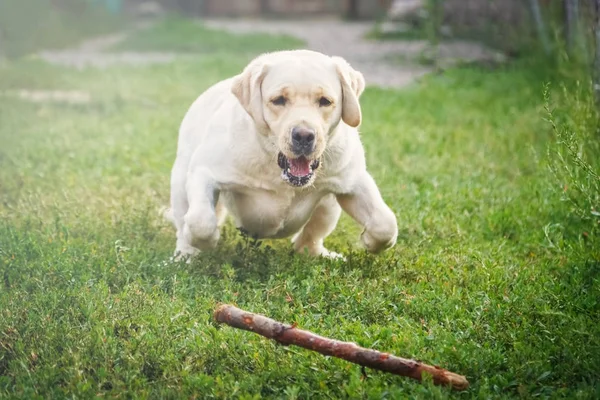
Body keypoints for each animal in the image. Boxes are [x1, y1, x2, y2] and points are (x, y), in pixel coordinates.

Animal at [164, 49, 398, 260]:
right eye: (278, 100)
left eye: (325, 101)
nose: (303, 136)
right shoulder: (204, 171)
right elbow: (200, 222)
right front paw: (207, 241)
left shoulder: (353, 180)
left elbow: (385, 223)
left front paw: (369, 241)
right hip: (180, 183)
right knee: (184, 220)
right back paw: (184, 256)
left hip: (328, 206)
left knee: (310, 238)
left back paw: (319, 254)